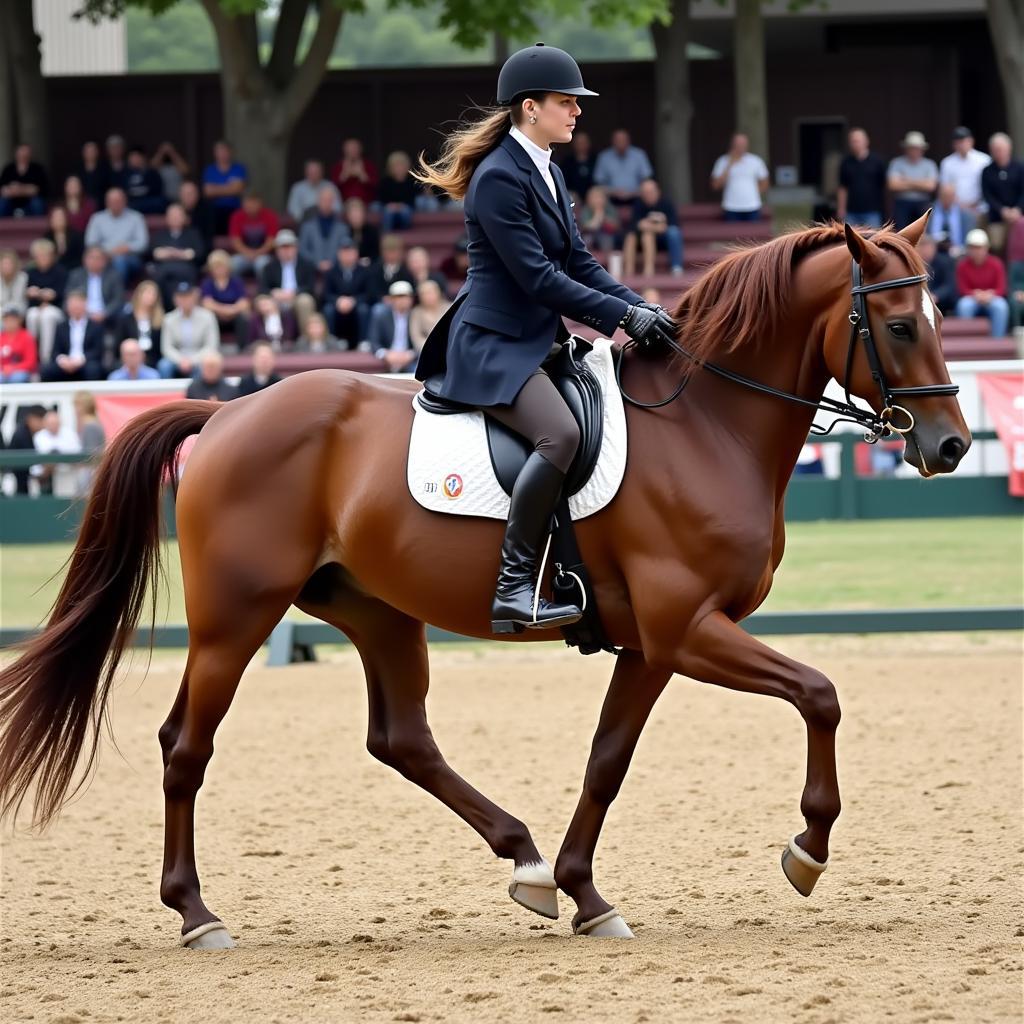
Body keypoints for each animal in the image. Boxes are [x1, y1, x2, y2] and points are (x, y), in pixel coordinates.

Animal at [0, 216, 966, 942]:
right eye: (901, 325)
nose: (951, 445)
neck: (706, 424)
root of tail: (229, 410)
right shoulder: (688, 628)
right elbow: (819, 693)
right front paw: (808, 850)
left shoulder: (654, 645)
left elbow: (608, 759)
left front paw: (584, 894)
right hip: (237, 617)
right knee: (186, 747)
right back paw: (196, 913)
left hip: (378, 612)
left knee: (401, 739)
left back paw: (525, 859)